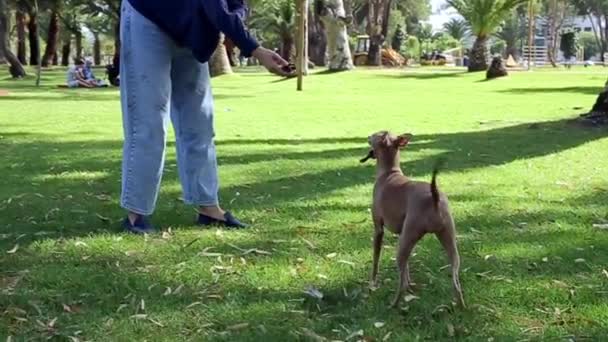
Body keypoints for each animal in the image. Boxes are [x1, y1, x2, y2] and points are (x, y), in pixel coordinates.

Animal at [360, 130, 466, 308]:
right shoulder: (401, 234)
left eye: (375, 134)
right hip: (446, 238)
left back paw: (393, 304)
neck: (389, 173)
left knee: (401, 283)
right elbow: (407, 267)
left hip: (407, 239)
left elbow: (376, 259)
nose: (367, 136)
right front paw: (410, 282)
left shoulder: (378, 229)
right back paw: (460, 305)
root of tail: (434, 196)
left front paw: (372, 284)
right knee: (456, 281)